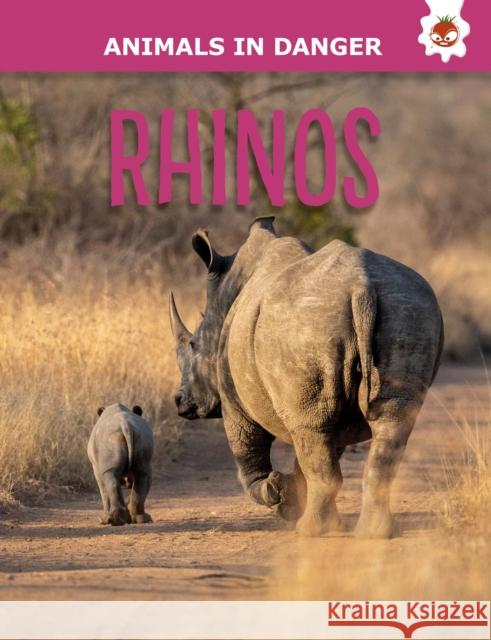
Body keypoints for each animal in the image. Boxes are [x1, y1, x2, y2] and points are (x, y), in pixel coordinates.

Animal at [170, 217, 444, 538]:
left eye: (193, 345)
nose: (180, 401)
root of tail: (361, 287)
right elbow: (318, 450)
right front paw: (287, 497)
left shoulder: (232, 398)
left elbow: (246, 446)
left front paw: (275, 493)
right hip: (408, 312)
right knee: (386, 421)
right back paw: (373, 534)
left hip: (303, 326)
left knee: (312, 429)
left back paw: (311, 531)